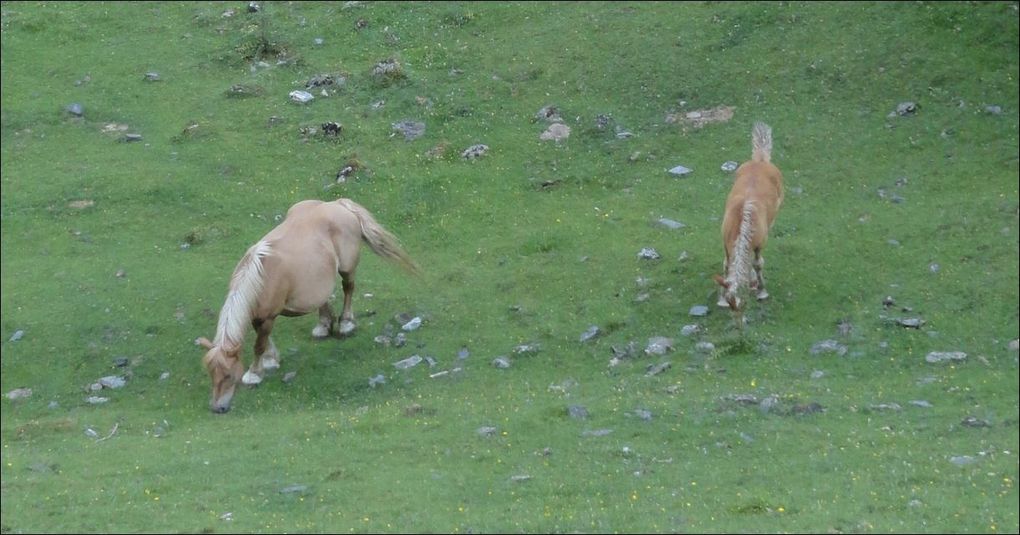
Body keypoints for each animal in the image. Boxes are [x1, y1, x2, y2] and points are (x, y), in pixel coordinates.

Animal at [194, 197, 418, 411]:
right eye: (211, 374)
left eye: (228, 375)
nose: (218, 408)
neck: (260, 276)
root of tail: (337, 204)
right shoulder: (258, 316)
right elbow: (264, 341)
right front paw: (271, 360)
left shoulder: (267, 317)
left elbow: (259, 345)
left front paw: (254, 373)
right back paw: (323, 326)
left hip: (347, 269)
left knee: (348, 288)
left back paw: (346, 323)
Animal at [714, 121, 783, 326]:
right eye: (731, 304)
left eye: (744, 303)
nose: (738, 324)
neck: (741, 223)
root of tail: (760, 160)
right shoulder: (726, 244)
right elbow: (727, 265)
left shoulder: (760, 243)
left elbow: (758, 263)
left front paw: (761, 291)